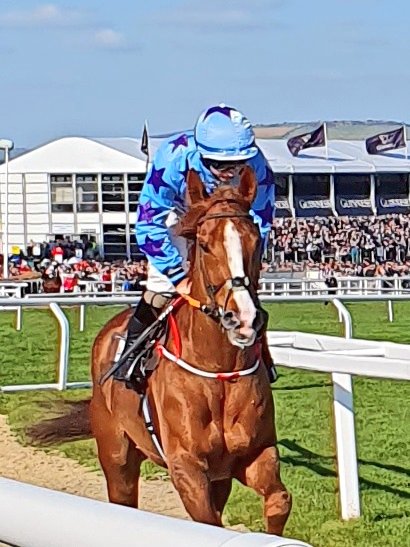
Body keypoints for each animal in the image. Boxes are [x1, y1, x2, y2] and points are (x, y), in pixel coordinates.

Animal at [90, 168, 292, 536]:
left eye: (256, 242)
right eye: (205, 244)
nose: (243, 319)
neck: (218, 369)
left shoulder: (254, 454)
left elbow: (279, 500)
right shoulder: (186, 467)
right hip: (116, 456)